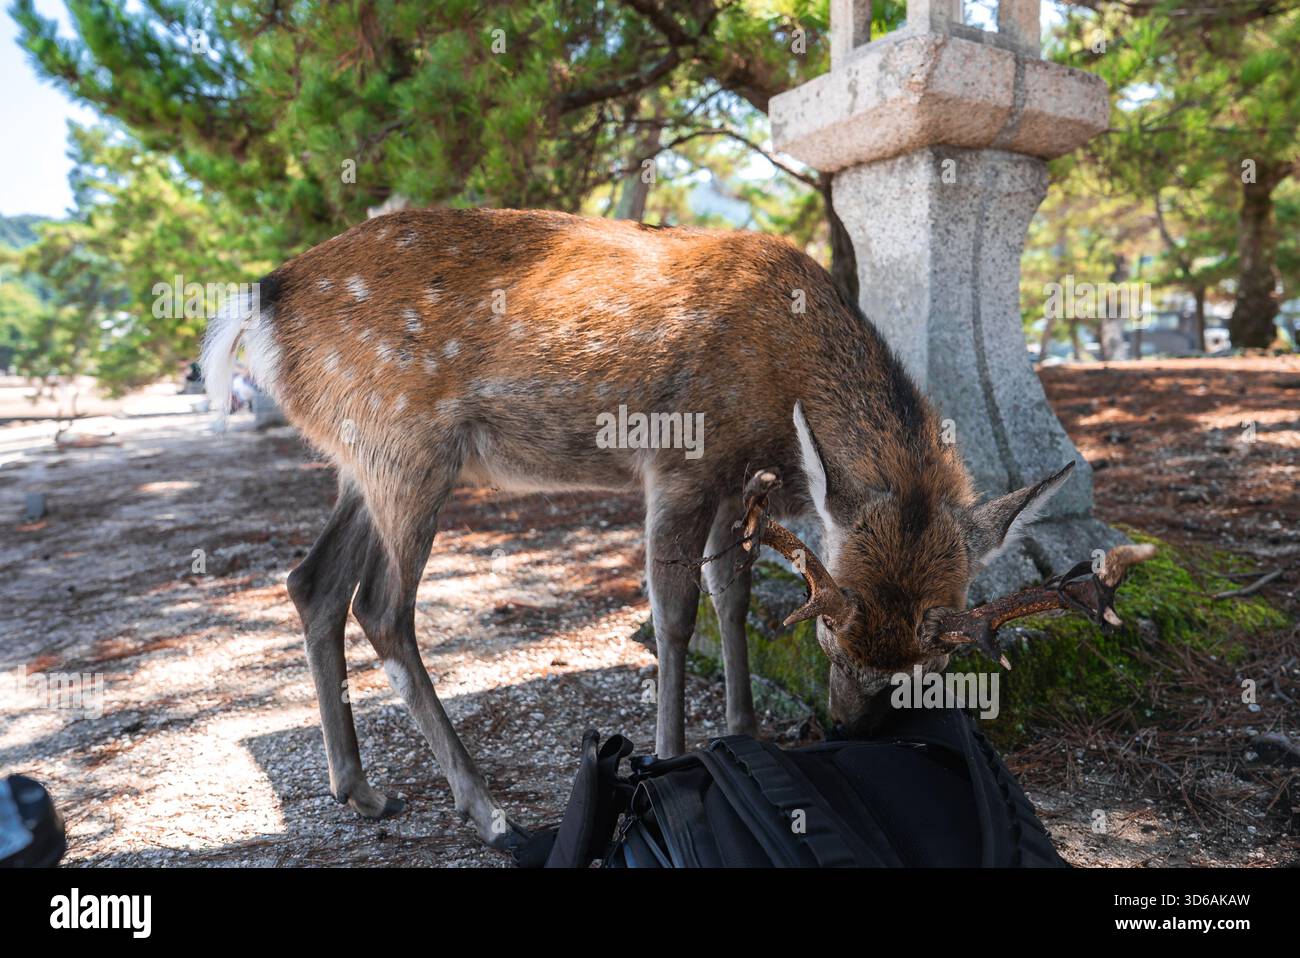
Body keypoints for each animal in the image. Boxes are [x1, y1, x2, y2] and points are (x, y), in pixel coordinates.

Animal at [203, 206, 1115, 851]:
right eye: (829, 633)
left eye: (933, 659)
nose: (851, 729)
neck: (781, 398)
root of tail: (261, 303)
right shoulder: (679, 461)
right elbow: (675, 614)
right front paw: (670, 757)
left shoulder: (735, 485)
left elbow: (732, 590)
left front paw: (742, 730)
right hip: (405, 442)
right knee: (382, 608)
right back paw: (490, 813)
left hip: (361, 459)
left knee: (312, 582)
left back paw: (360, 788)